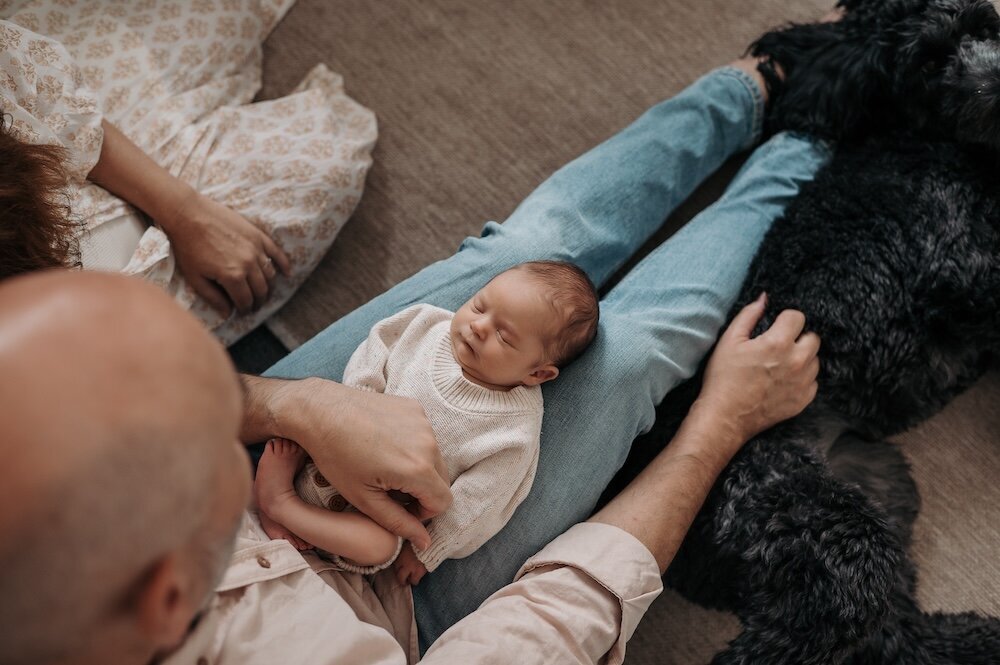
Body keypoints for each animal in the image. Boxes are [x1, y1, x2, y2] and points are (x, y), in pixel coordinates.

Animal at [600, 1, 1000, 664]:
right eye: (927, 61)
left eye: (982, 23)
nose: (996, 80)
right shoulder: (967, 260)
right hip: (820, 532)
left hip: (873, 503)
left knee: (894, 634)